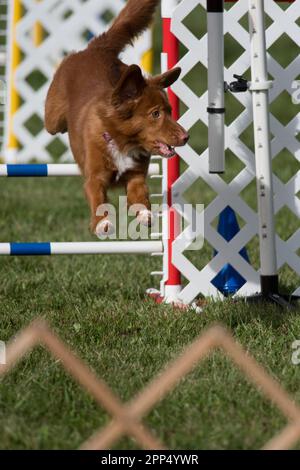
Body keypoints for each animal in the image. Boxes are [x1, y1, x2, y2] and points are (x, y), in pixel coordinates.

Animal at [45, 0, 188, 235]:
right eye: (155, 113)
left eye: (169, 111)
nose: (186, 137)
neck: (122, 139)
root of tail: (96, 49)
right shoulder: (95, 177)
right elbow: (98, 198)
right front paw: (102, 223)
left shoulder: (136, 175)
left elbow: (140, 195)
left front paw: (145, 214)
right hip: (52, 120)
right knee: (54, 125)